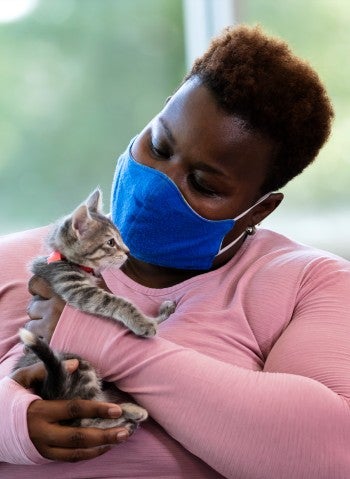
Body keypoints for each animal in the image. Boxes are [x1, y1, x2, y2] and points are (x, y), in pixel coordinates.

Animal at [30, 188, 175, 338]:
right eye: (110, 242)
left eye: (120, 237)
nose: (128, 251)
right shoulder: (72, 284)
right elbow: (115, 301)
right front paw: (142, 322)